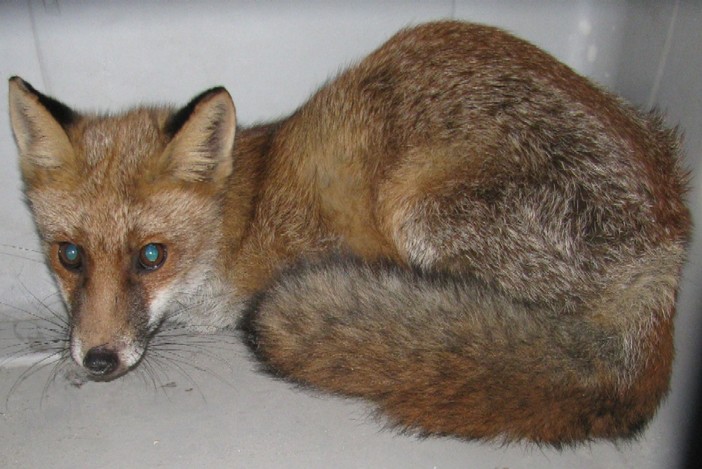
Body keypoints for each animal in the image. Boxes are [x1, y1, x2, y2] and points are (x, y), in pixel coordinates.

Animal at [8, 21, 691, 445]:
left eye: (152, 256)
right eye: (69, 255)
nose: (98, 359)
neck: (245, 218)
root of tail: (668, 262)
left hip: (423, 211)